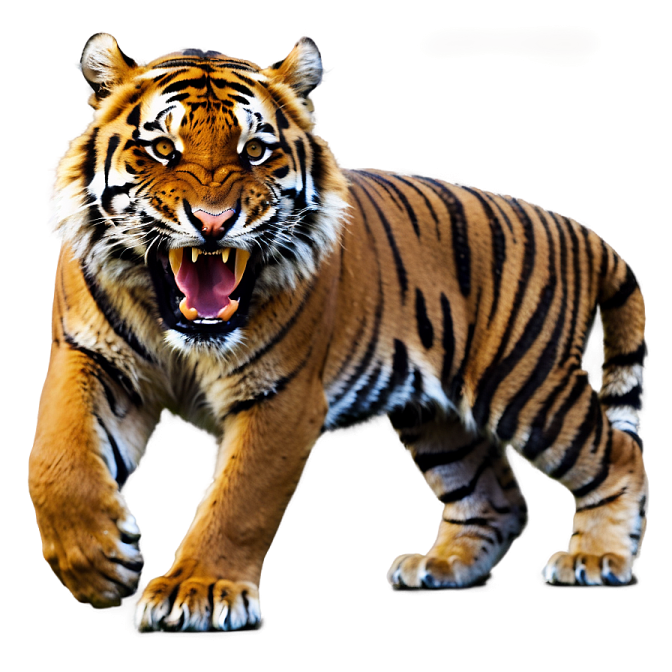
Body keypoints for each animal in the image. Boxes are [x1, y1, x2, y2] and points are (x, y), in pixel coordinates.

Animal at [31, 32, 649, 632]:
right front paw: (97, 562)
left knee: (618, 456)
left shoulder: (282, 396)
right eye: (162, 148)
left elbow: (239, 500)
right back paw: (443, 567)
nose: (213, 221)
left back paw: (597, 557)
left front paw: (199, 591)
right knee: (495, 497)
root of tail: (576, 228)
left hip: (527, 385)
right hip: (438, 416)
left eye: (255, 151)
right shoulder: (89, 358)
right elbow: (55, 460)